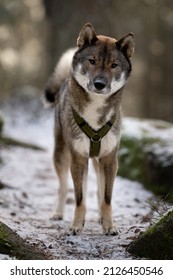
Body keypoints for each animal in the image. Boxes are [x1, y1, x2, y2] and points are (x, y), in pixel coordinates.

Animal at [44, 23, 134, 235]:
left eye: (114, 65)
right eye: (92, 61)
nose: (99, 84)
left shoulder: (109, 159)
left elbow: (106, 197)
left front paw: (109, 226)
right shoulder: (78, 159)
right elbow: (79, 198)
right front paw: (76, 226)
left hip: (97, 161)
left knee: (99, 192)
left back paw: (101, 218)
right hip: (62, 155)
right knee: (63, 187)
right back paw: (58, 213)